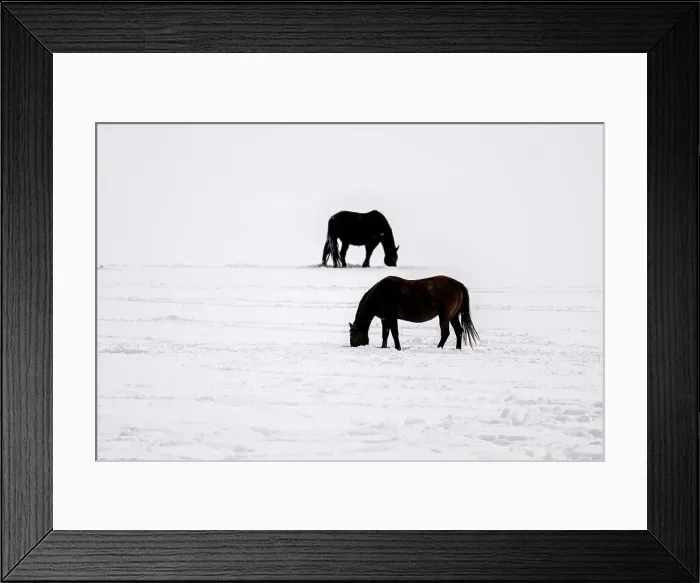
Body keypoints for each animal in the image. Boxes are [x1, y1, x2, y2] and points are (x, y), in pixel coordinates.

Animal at [348, 275, 479, 351]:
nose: (352, 346)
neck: (379, 294)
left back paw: (438, 348)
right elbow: (385, 334)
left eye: (352, 334)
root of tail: (458, 285)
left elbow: (394, 334)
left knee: (445, 333)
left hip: (444, 316)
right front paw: (383, 347)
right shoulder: (384, 319)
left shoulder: (391, 318)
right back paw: (457, 348)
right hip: (453, 316)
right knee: (459, 331)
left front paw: (398, 348)